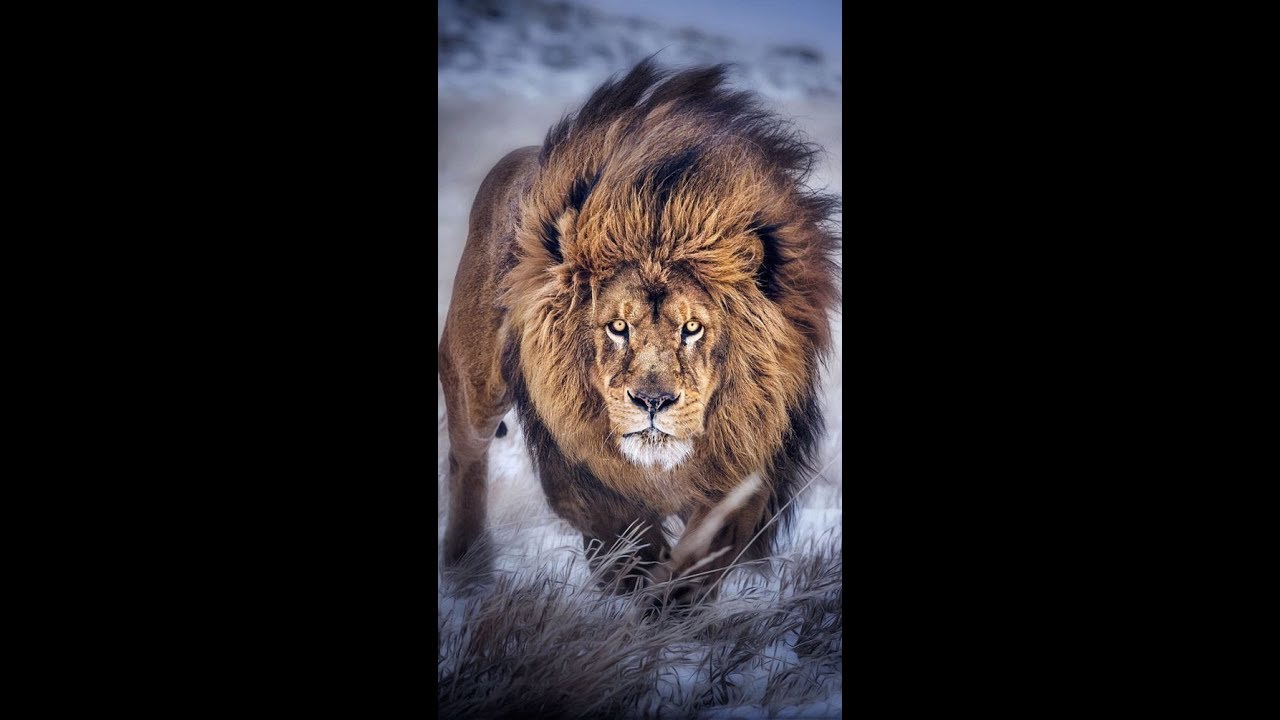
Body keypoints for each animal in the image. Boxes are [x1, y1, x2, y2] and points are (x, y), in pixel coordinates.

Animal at [439, 60, 840, 604]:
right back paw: (467, 571)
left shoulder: (749, 463)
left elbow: (701, 555)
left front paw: (666, 604)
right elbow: (624, 537)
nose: (653, 402)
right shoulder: (578, 467)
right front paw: (633, 587)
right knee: (467, 459)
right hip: (474, 383)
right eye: (617, 327)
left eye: (692, 328)